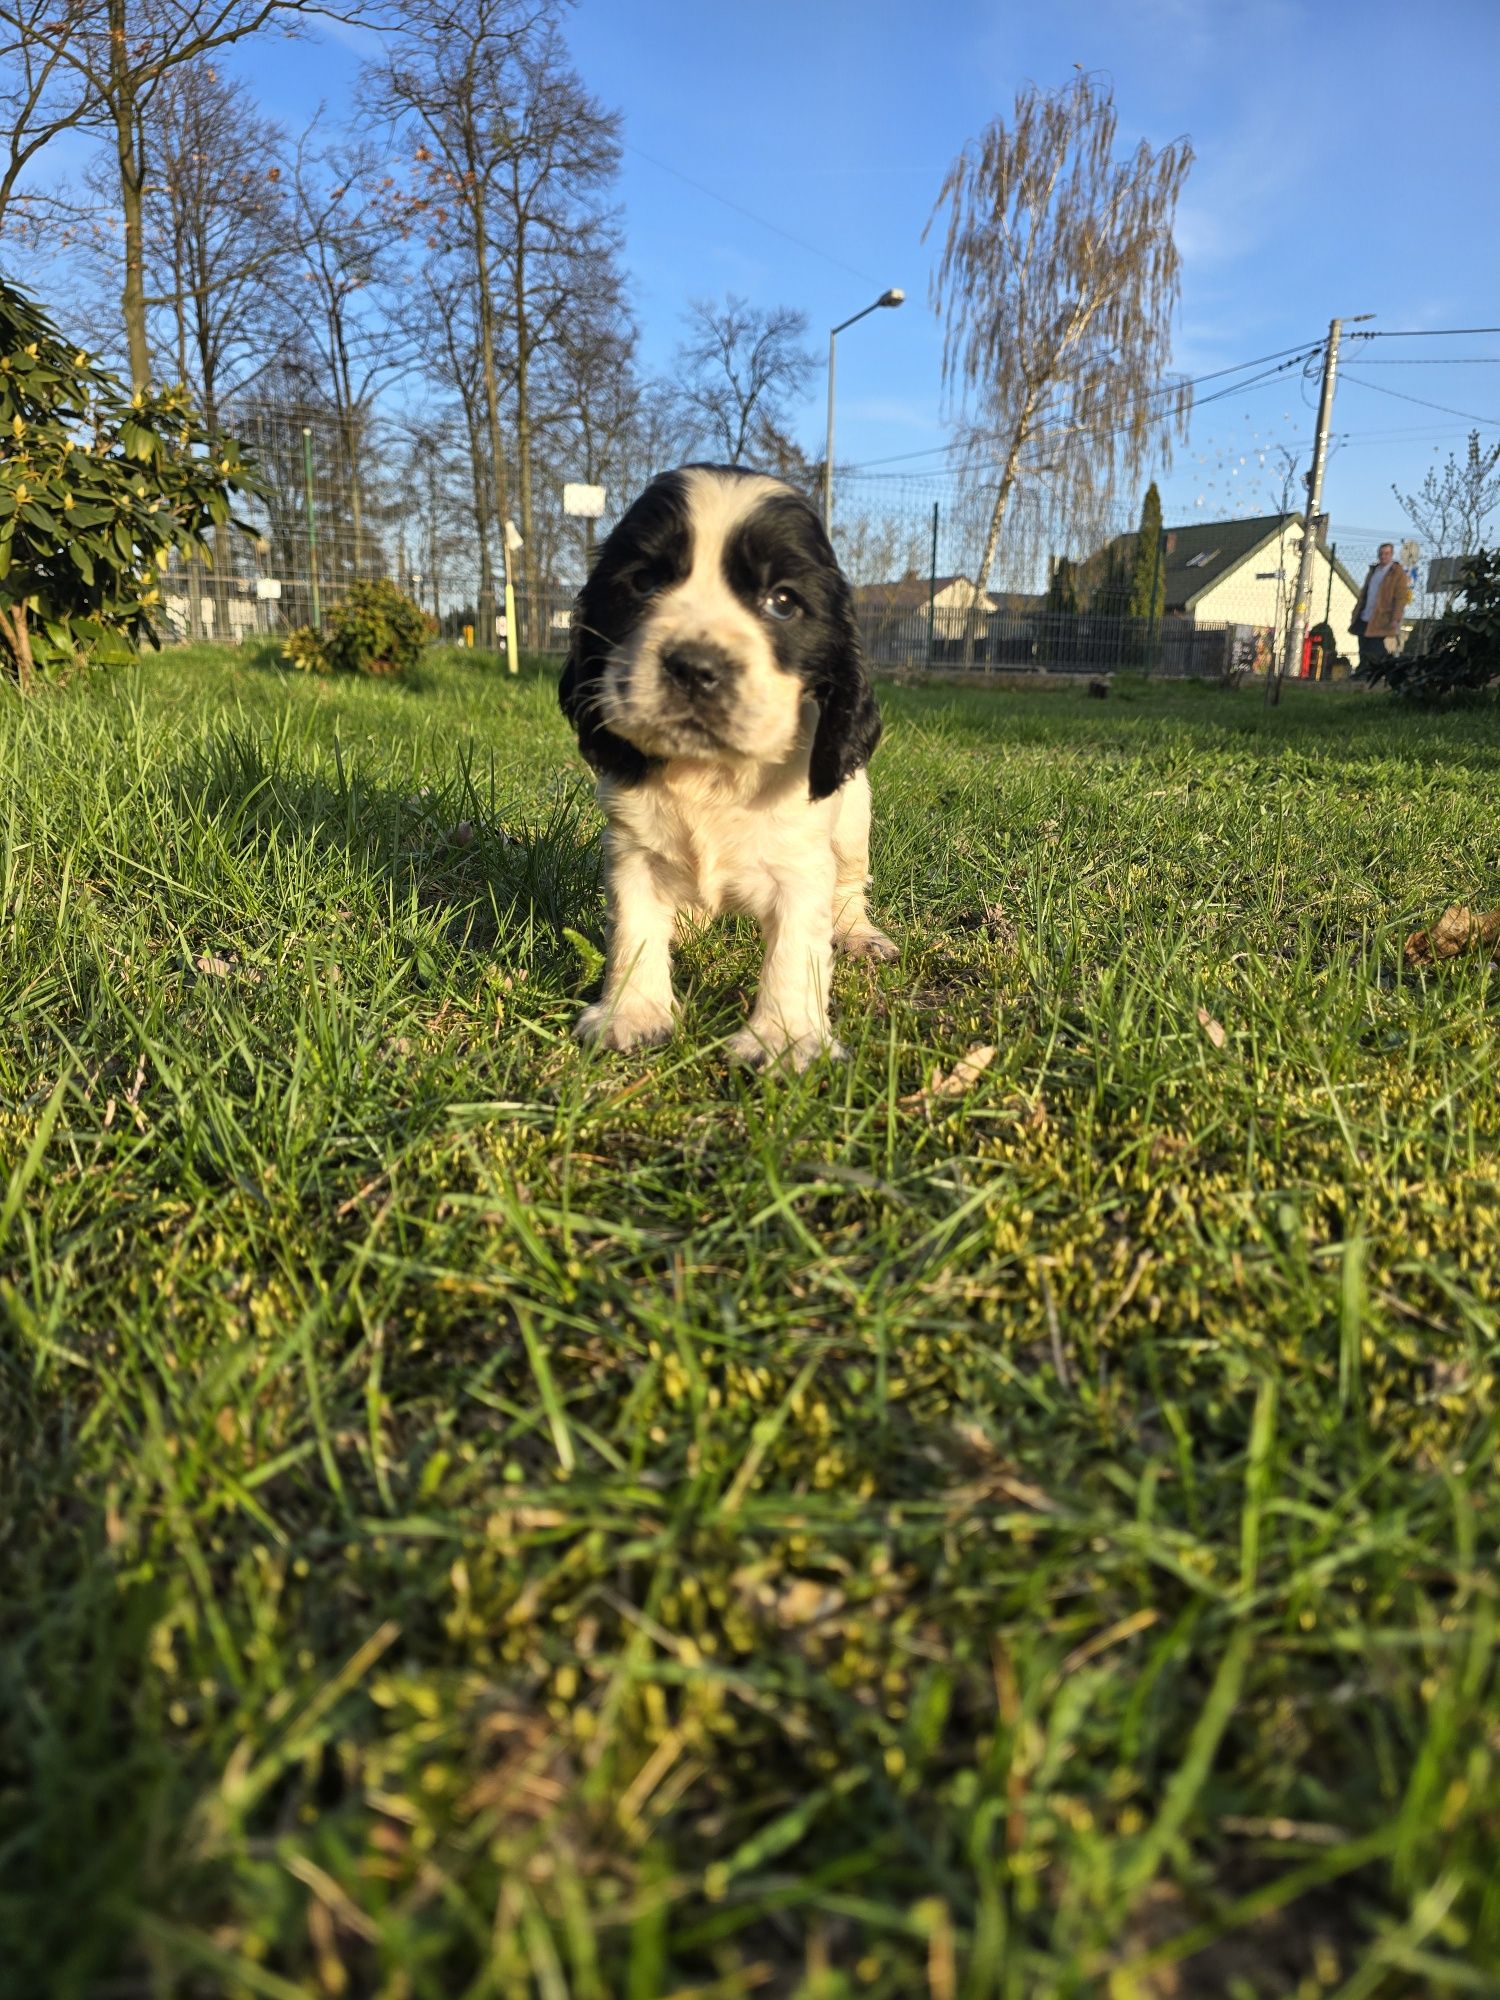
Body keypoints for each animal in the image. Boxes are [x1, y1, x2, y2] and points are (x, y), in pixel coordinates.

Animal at [560, 462, 892, 1072]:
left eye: (782, 601)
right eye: (644, 583)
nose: (695, 667)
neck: (710, 773)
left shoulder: (800, 865)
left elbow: (794, 951)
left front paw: (785, 1040)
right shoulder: (633, 851)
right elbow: (634, 930)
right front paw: (631, 1014)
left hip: (854, 819)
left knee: (850, 883)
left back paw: (860, 933)